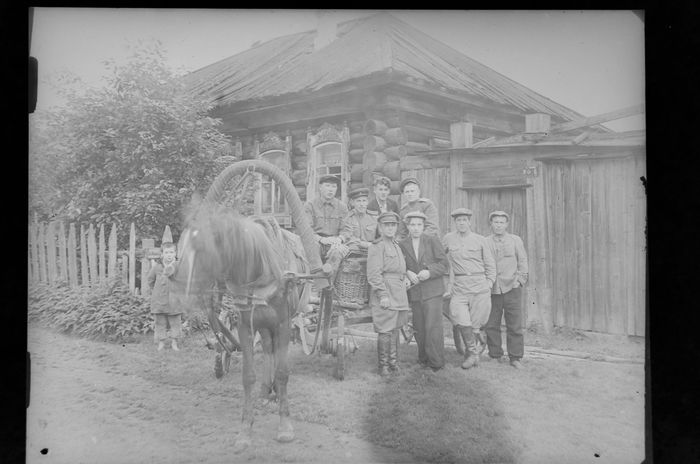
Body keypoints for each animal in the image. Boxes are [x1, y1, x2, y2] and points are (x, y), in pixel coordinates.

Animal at [171, 202, 302, 450]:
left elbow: (283, 373)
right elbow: (247, 376)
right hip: (263, 326)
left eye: (202, 248)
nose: (179, 287)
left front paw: (285, 427)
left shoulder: (283, 324)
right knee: (268, 349)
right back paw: (266, 391)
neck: (261, 273)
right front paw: (245, 430)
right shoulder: (245, 326)